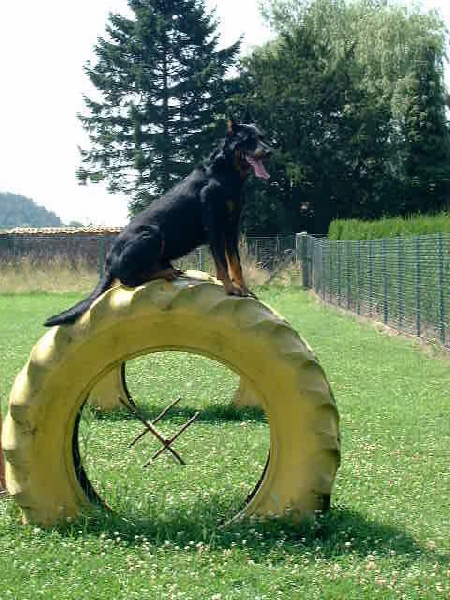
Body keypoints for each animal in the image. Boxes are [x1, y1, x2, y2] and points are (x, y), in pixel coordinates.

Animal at [44, 119, 271, 327]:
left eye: (261, 137)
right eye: (248, 139)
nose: (269, 152)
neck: (227, 173)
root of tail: (109, 259)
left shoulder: (231, 228)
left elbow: (236, 264)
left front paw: (245, 289)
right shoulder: (214, 226)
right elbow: (223, 264)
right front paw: (230, 289)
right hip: (150, 234)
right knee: (129, 279)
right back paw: (167, 272)